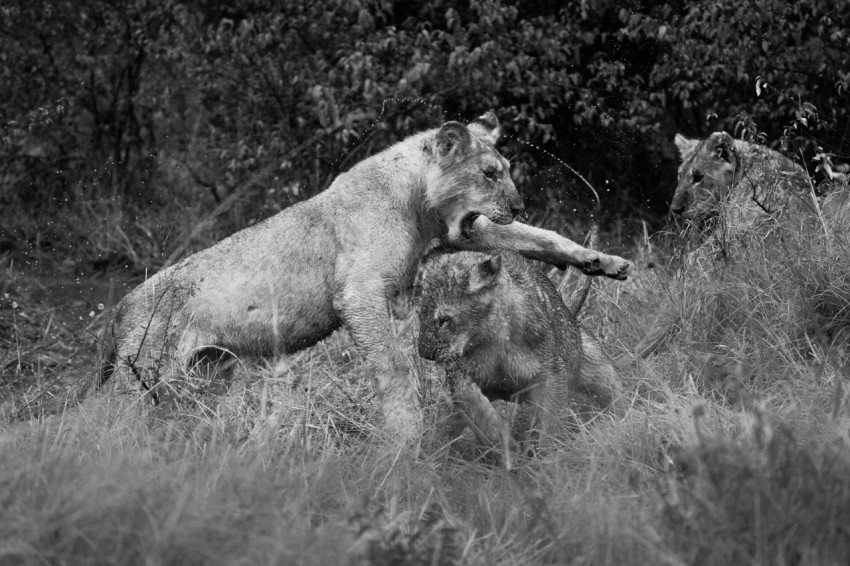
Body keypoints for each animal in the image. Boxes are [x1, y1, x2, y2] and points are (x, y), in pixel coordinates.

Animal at [97, 112, 630, 444]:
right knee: (103, 418)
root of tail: (122, 305)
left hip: (208, 375)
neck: (419, 205)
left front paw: (601, 261)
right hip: (146, 374)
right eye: (489, 173)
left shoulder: (461, 236)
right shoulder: (359, 292)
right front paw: (406, 432)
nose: (518, 203)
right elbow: (393, 365)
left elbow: (537, 237)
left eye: (506, 171)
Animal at [416, 246, 621, 467]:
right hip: (447, 405)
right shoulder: (459, 378)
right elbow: (479, 413)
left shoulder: (551, 373)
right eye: (420, 315)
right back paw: (430, 460)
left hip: (599, 369)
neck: (492, 336)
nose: (424, 353)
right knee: (440, 430)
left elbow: (552, 420)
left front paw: (549, 459)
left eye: (444, 320)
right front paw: (508, 449)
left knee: (616, 396)